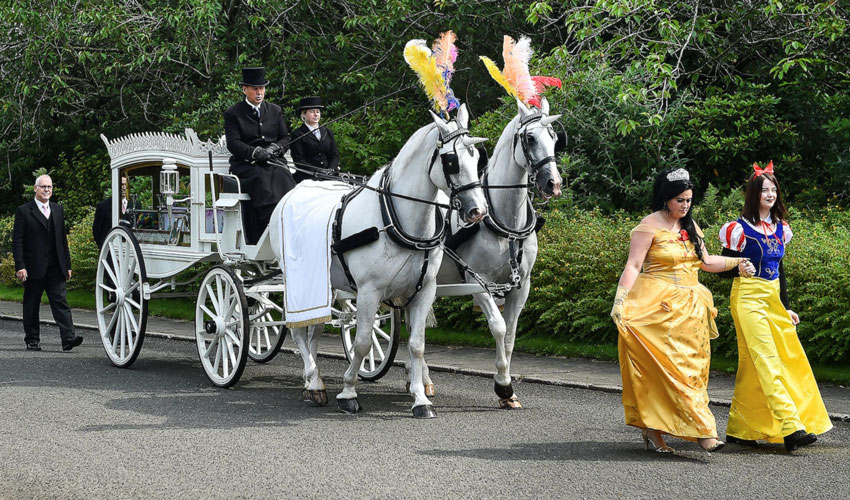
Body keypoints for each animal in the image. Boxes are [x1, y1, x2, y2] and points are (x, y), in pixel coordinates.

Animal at [290, 102, 484, 418]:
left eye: (477, 156)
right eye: (451, 160)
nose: (478, 211)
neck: (395, 219)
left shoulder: (424, 290)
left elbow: (417, 345)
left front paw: (420, 399)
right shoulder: (369, 291)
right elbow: (362, 342)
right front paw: (348, 392)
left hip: (323, 285)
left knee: (313, 329)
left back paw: (313, 380)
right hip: (296, 282)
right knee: (298, 331)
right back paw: (314, 381)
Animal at [430, 97, 564, 406]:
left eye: (554, 137)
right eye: (530, 137)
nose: (553, 184)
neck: (505, 223)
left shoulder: (522, 285)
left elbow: (511, 332)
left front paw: (508, 390)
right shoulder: (478, 283)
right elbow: (499, 327)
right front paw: (503, 385)